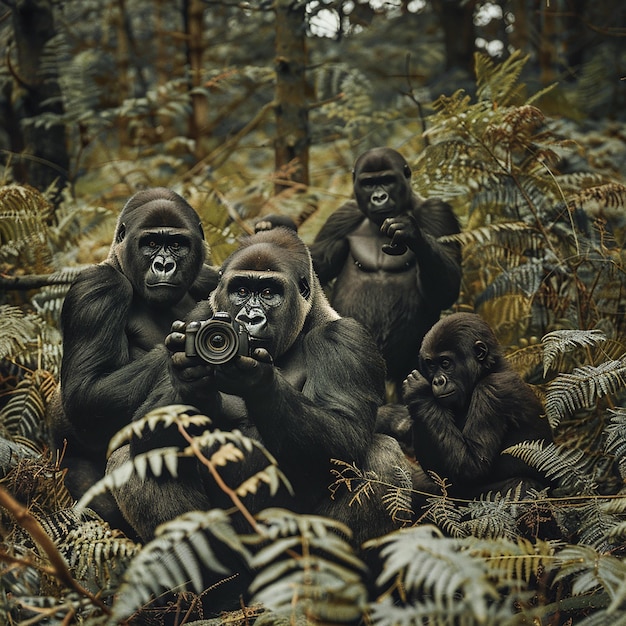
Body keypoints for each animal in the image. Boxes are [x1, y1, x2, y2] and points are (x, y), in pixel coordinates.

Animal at [48, 188, 217, 524]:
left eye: (176, 244)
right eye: (150, 244)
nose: (164, 265)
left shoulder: (207, 276)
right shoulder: (98, 288)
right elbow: (86, 393)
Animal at [107, 227, 410, 548]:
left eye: (268, 293)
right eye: (241, 291)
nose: (250, 318)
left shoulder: (345, 337)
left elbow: (345, 435)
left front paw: (259, 381)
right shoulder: (194, 318)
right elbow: (147, 425)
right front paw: (189, 383)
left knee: (380, 457)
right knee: (137, 458)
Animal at [310, 148, 460, 388]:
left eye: (387, 180)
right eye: (368, 183)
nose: (379, 198)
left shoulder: (437, 212)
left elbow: (448, 289)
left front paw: (410, 231)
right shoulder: (341, 218)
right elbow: (316, 265)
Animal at [400, 312, 552, 498]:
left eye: (445, 363)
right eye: (431, 365)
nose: (437, 381)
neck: (491, 369)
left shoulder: (492, 389)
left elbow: (472, 467)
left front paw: (419, 393)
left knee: (522, 484)